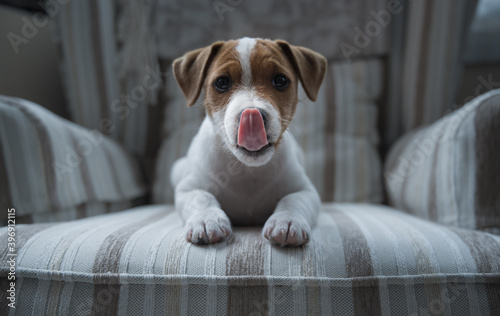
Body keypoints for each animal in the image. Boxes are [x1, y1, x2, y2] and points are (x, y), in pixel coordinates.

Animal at [171, 37, 328, 247]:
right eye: (222, 82)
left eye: (280, 80)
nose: (253, 116)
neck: (247, 170)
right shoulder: (189, 188)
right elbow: (201, 197)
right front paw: (206, 219)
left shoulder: (305, 190)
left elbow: (294, 200)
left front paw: (287, 220)